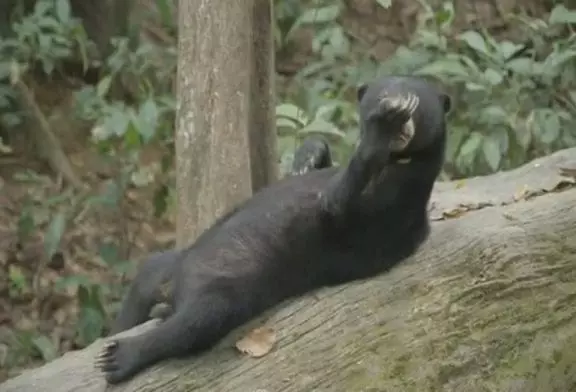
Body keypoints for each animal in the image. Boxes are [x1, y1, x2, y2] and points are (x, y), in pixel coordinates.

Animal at [95, 76, 450, 382]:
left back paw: (119, 357)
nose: (400, 117)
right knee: (145, 282)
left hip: (224, 291)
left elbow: (334, 202)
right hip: (172, 264)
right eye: (381, 95)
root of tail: (173, 290)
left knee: (196, 322)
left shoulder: (389, 210)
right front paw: (309, 156)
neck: (401, 162)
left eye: (417, 104)